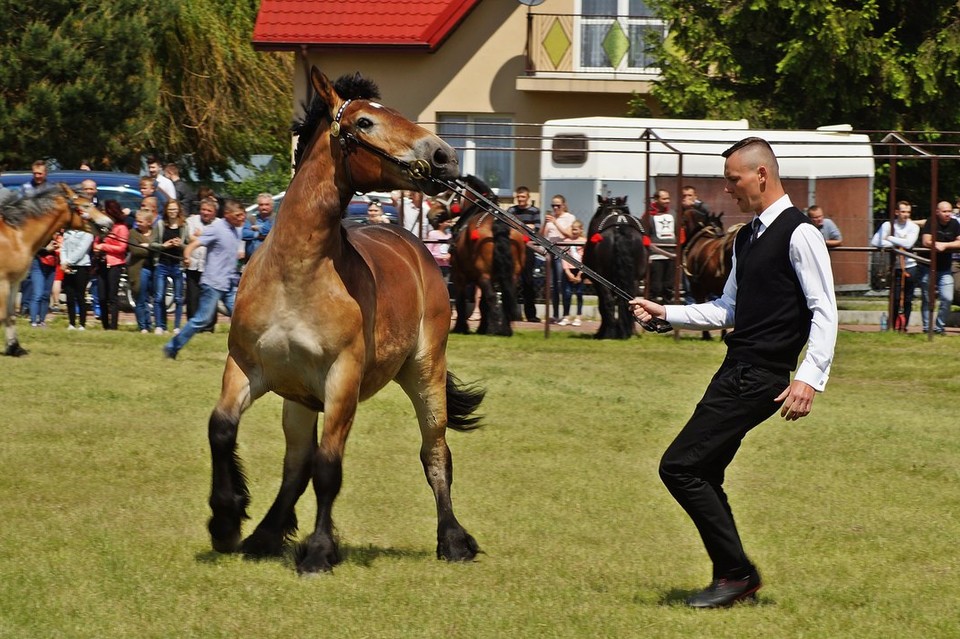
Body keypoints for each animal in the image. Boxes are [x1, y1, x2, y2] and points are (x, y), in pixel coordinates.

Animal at [0, 184, 113, 356]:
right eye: (85, 206)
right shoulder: (3, 282)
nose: (110, 222)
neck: (15, 236)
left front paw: (15, 347)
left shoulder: (13, 282)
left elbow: (10, 315)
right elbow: (2, 315)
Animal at [205, 69, 484, 576]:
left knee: (436, 453)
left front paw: (318, 552)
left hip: (425, 372)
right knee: (295, 464)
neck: (296, 273)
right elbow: (222, 429)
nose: (445, 157)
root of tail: (415, 247)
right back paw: (264, 535)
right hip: (297, 399)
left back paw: (453, 541)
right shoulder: (247, 368)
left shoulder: (342, 380)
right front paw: (226, 521)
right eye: (365, 122)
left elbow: (328, 468)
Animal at [430, 174, 524, 336]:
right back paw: (505, 329)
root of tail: (498, 222)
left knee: (492, 297)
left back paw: (494, 329)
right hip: (512, 274)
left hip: (483, 274)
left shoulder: (459, 274)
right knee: (507, 295)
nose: (430, 214)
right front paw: (482, 327)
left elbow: (461, 300)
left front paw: (461, 327)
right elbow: (482, 303)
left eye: (448, 193)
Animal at [580, 196, 648, 340]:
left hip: (602, 279)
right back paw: (626, 331)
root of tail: (620, 227)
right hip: (634, 280)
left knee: (608, 302)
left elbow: (602, 304)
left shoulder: (597, 282)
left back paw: (608, 332)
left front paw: (603, 331)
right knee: (629, 301)